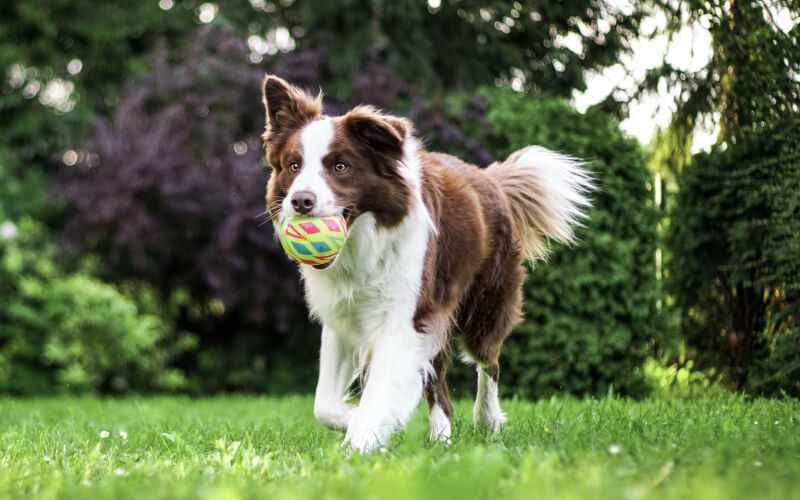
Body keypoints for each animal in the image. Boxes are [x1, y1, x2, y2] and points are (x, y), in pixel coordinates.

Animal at [260, 75, 592, 454]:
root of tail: (491, 178)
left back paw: (487, 420)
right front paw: (359, 421)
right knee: (440, 386)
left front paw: (361, 440)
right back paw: (441, 439)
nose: (301, 201)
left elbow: (381, 389)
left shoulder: (404, 316)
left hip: (484, 306)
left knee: (488, 362)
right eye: (293, 165)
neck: (363, 243)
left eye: (340, 166)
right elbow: (324, 405)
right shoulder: (344, 317)